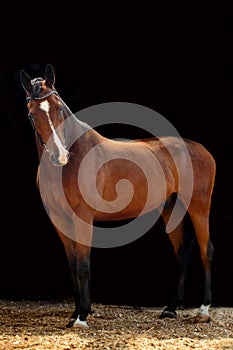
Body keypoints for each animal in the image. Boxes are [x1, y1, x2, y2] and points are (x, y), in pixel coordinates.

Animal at [20, 63, 217, 328]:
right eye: (32, 115)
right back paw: (171, 308)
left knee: (207, 250)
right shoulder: (60, 221)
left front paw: (82, 317)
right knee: (182, 253)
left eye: (59, 107)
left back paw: (203, 311)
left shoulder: (83, 218)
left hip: (199, 207)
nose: (60, 156)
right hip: (171, 209)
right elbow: (73, 266)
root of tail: (201, 149)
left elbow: (83, 265)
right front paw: (74, 314)